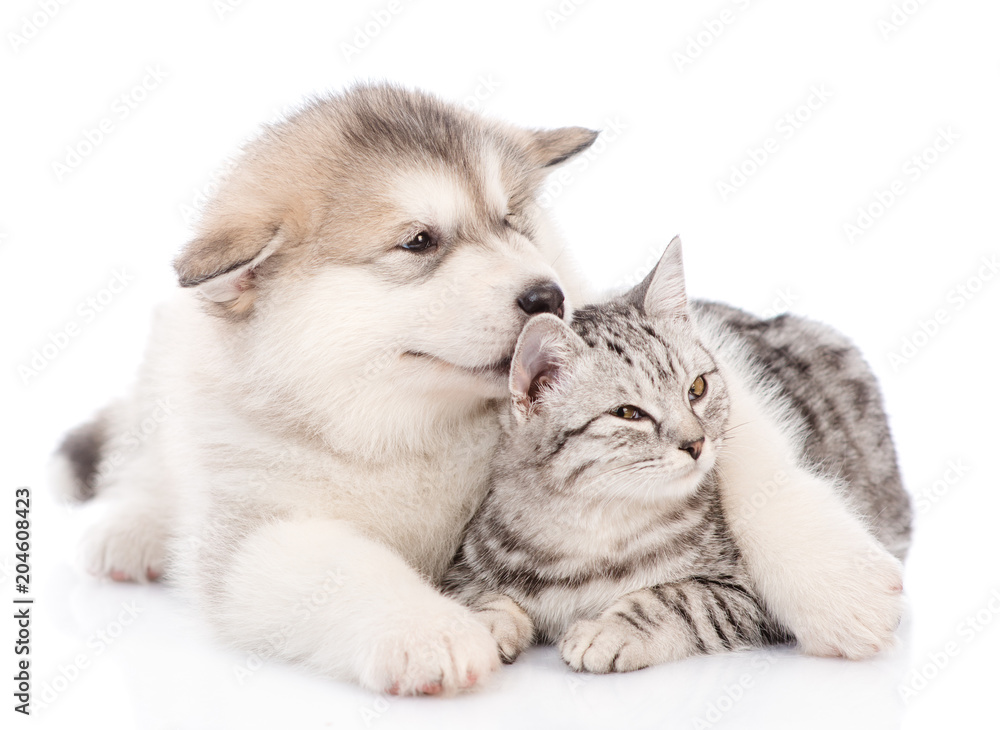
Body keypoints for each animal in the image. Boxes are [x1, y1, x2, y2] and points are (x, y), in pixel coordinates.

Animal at [58, 85, 912, 692]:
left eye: (513, 221)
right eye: (419, 241)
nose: (545, 295)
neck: (419, 424)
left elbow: (749, 454)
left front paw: (835, 578)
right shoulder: (255, 534)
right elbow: (333, 563)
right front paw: (429, 630)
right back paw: (131, 530)